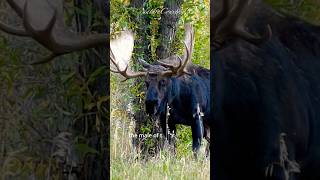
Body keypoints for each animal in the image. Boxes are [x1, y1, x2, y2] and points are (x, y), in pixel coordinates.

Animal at [110, 24, 210, 155]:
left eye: (163, 81)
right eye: (146, 82)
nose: (150, 104)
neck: (178, 102)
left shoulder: (197, 116)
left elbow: (195, 150)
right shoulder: (167, 121)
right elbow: (172, 148)